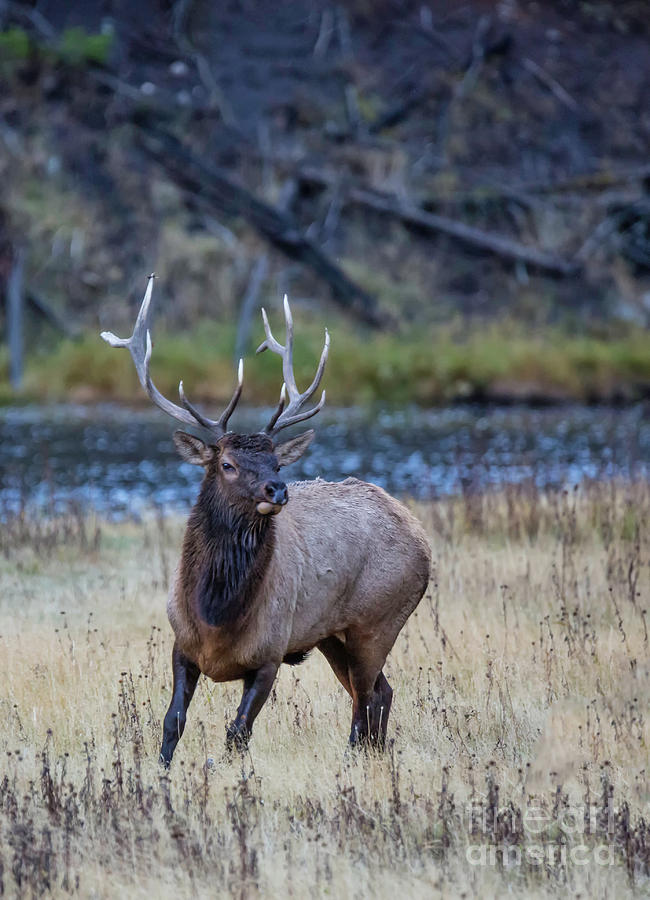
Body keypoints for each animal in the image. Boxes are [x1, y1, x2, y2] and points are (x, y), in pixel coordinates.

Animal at [101, 276, 430, 768]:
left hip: (378, 621)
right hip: (331, 634)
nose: (278, 490)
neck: (216, 616)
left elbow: (237, 734)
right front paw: (160, 772)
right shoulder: (181, 644)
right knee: (380, 692)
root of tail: (419, 534)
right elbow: (172, 722)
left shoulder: (270, 654)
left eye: (276, 461)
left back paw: (353, 760)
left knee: (365, 699)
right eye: (228, 464)